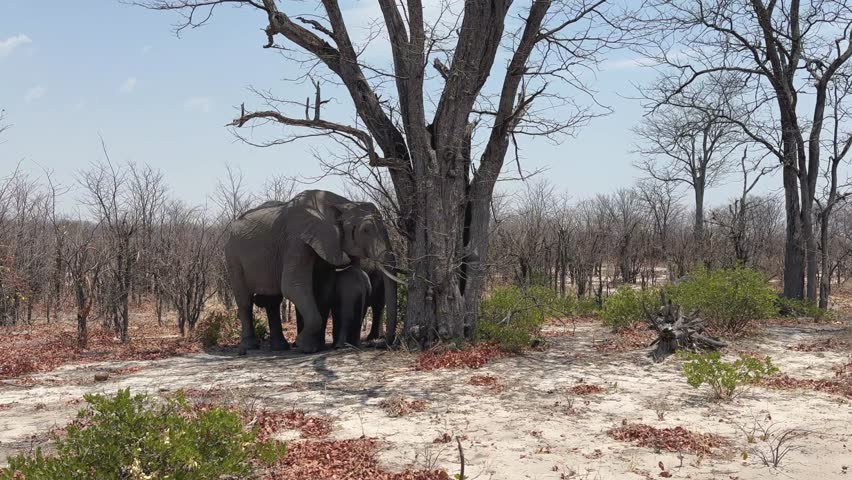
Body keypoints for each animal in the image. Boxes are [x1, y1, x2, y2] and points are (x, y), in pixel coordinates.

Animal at [224, 190, 398, 354]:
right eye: (366, 230)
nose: (381, 344)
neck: (342, 202)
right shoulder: (296, 240)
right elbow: (293, 286)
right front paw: (304, 346)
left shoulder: (328, 244)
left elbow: (324, 291)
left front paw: (315, 346)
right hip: (232, 255)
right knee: (244, 300)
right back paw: (250, 346)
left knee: (272, 301)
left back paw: (280, 347)